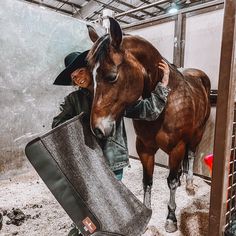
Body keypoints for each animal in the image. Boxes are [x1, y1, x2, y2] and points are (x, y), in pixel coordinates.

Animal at [86, 18, 210, 232]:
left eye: (111, 76)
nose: (97, 129)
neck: (167, 101)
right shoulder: (144, 148)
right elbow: (147, 181)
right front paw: (146, 212)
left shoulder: (177, 147)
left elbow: (171, 182)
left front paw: (171, 218)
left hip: (197, 134)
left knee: (191, 156)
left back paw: (189, 184)